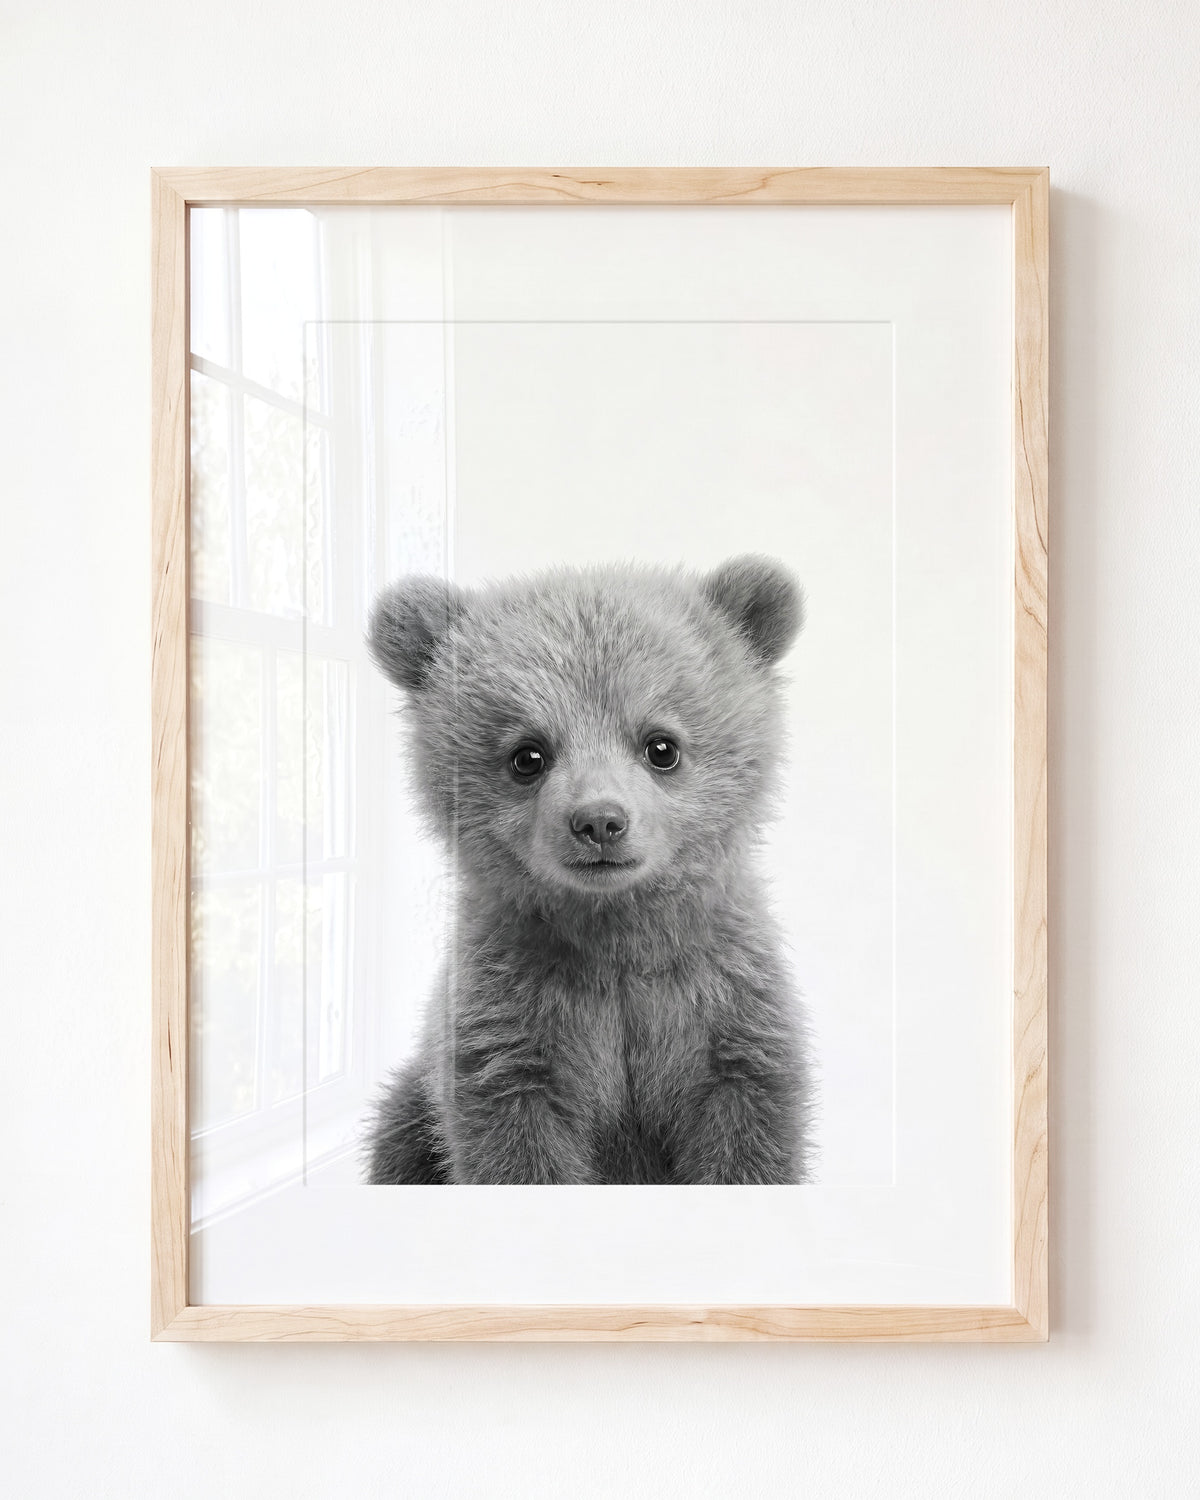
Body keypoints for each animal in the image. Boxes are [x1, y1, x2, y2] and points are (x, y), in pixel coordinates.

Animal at [362, 554, 814, 1185]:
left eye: (661, 746)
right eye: (527, 755)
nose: (600, 821)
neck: (615, 936)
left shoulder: (723, 1009)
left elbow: (747, 1138)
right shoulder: (513, 1026)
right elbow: (517, 1147)